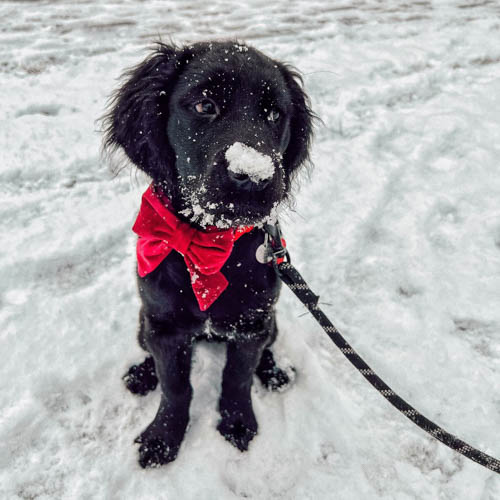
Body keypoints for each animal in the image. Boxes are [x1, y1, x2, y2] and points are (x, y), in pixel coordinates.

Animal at [103, 40, 312, 468]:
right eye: (205, 105)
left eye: (274, 114)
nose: (254, 178)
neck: (209, 245)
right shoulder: (164, 328)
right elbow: (176, 387)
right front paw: (163, 437)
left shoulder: (251, 323)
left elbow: (237, 377)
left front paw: (237, 422)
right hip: (144, 322)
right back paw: (142, 374)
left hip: (270, 320)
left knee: (267, 348)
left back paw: (274, 372)